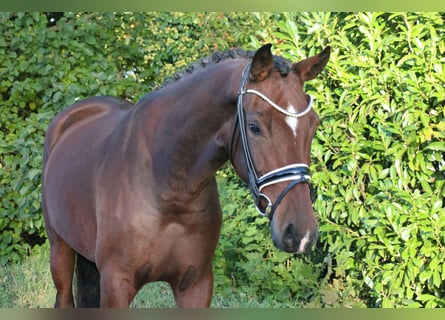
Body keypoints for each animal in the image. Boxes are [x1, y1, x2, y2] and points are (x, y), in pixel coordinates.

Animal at [41, 43, 330, 308]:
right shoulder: (116, 285)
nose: (300, 233)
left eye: (313, 124)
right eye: (254, 126)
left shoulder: (196, 285)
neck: (167, 187)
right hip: (60, 250)